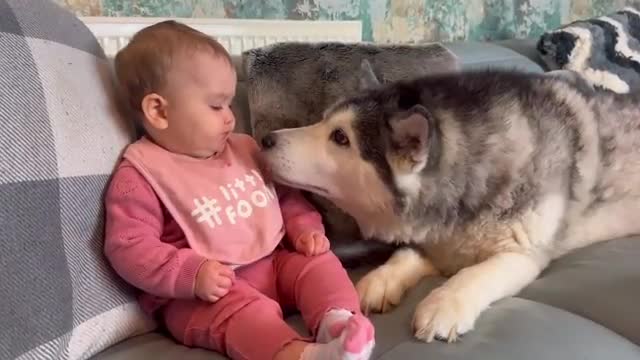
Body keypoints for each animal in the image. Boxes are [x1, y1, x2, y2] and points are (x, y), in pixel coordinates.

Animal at [258, 62, 640, 344]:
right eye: (323, 120)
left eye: (340, 138)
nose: (265, 139)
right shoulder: (434, 239)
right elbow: (407, 253)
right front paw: (381, 279)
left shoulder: (523, 253)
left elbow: (476, 272)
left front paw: (446, 302)